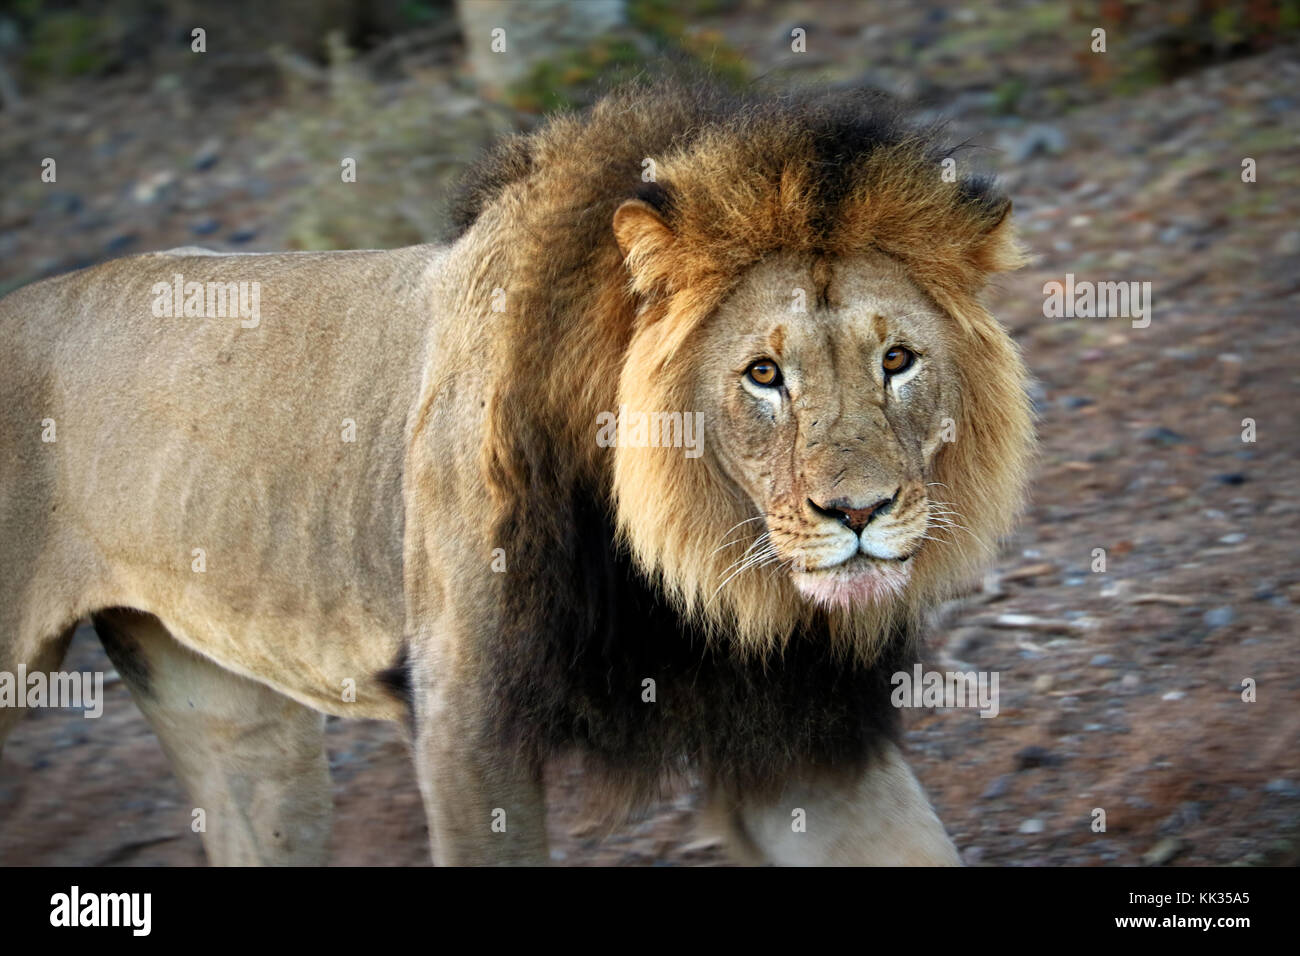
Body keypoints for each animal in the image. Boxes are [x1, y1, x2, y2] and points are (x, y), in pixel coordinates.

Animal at [0, 82, 1034, 868]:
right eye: (764, 374)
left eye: (897, 360)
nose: (858, 510)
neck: (694, 572)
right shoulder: (464, 722)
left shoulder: (799, 735)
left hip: (231, 714)